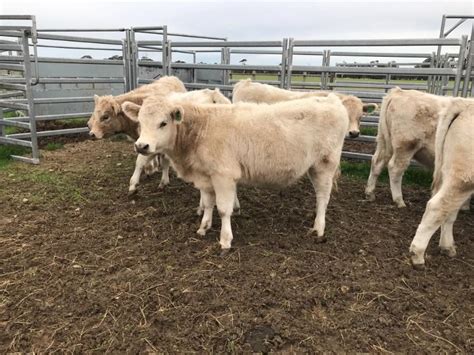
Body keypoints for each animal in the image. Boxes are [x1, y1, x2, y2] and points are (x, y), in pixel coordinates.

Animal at [123, 94, 348, 253]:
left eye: (163, 123)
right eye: (140, 122)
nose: (141, 146)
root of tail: (332, 99)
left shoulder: (223, 175)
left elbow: (223, 209)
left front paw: (225, 240)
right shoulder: (205, 176)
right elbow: (208, 203)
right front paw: (203, 227)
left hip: (324, 164)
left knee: (323, 196)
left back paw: (318, 227)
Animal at [410, 98, 472, 268]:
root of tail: (464, 103)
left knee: (449, 209)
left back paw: (447, 246)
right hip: (464, 178)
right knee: (437, 206)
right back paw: (417, 255)